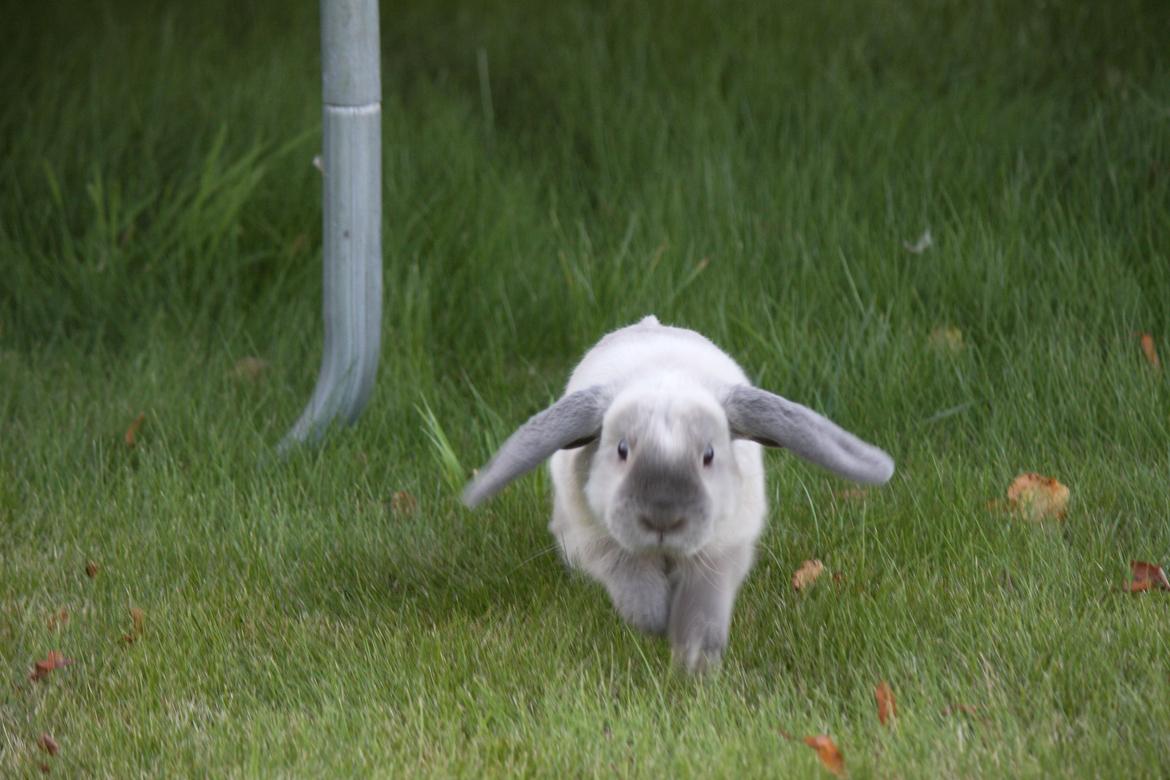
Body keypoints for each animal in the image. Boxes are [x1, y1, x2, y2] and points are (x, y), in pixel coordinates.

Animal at [460, 315, 889, 673]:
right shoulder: (597, 542)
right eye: (621, 450)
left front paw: (697, 659)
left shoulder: (723, 550)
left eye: (709, 455)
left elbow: (705, 601)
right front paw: (655, 621)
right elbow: (632, 578)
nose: (662, 518)